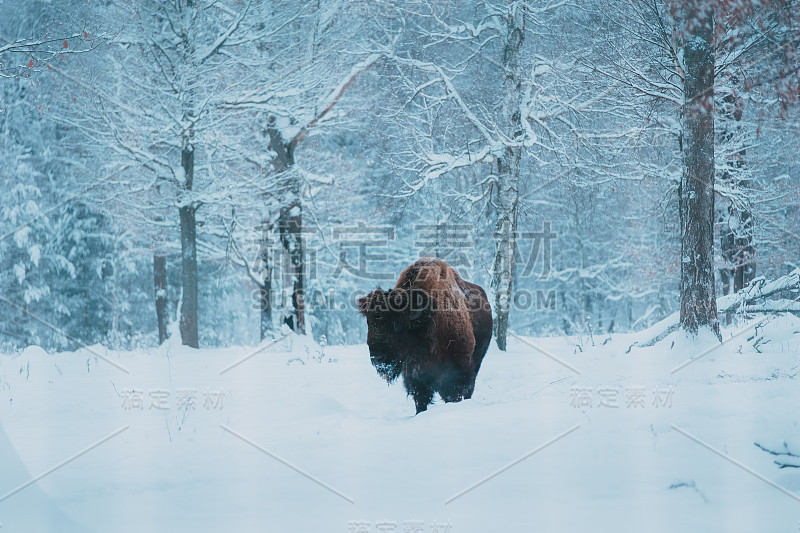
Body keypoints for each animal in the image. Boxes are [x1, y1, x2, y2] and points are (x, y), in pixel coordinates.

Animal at [360, 260, 490, 414]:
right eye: (369, 323)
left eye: (397, 325)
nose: (377, 358)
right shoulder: (414, 379)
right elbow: (421, 401)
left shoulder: (455, 377)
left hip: (476, 364)